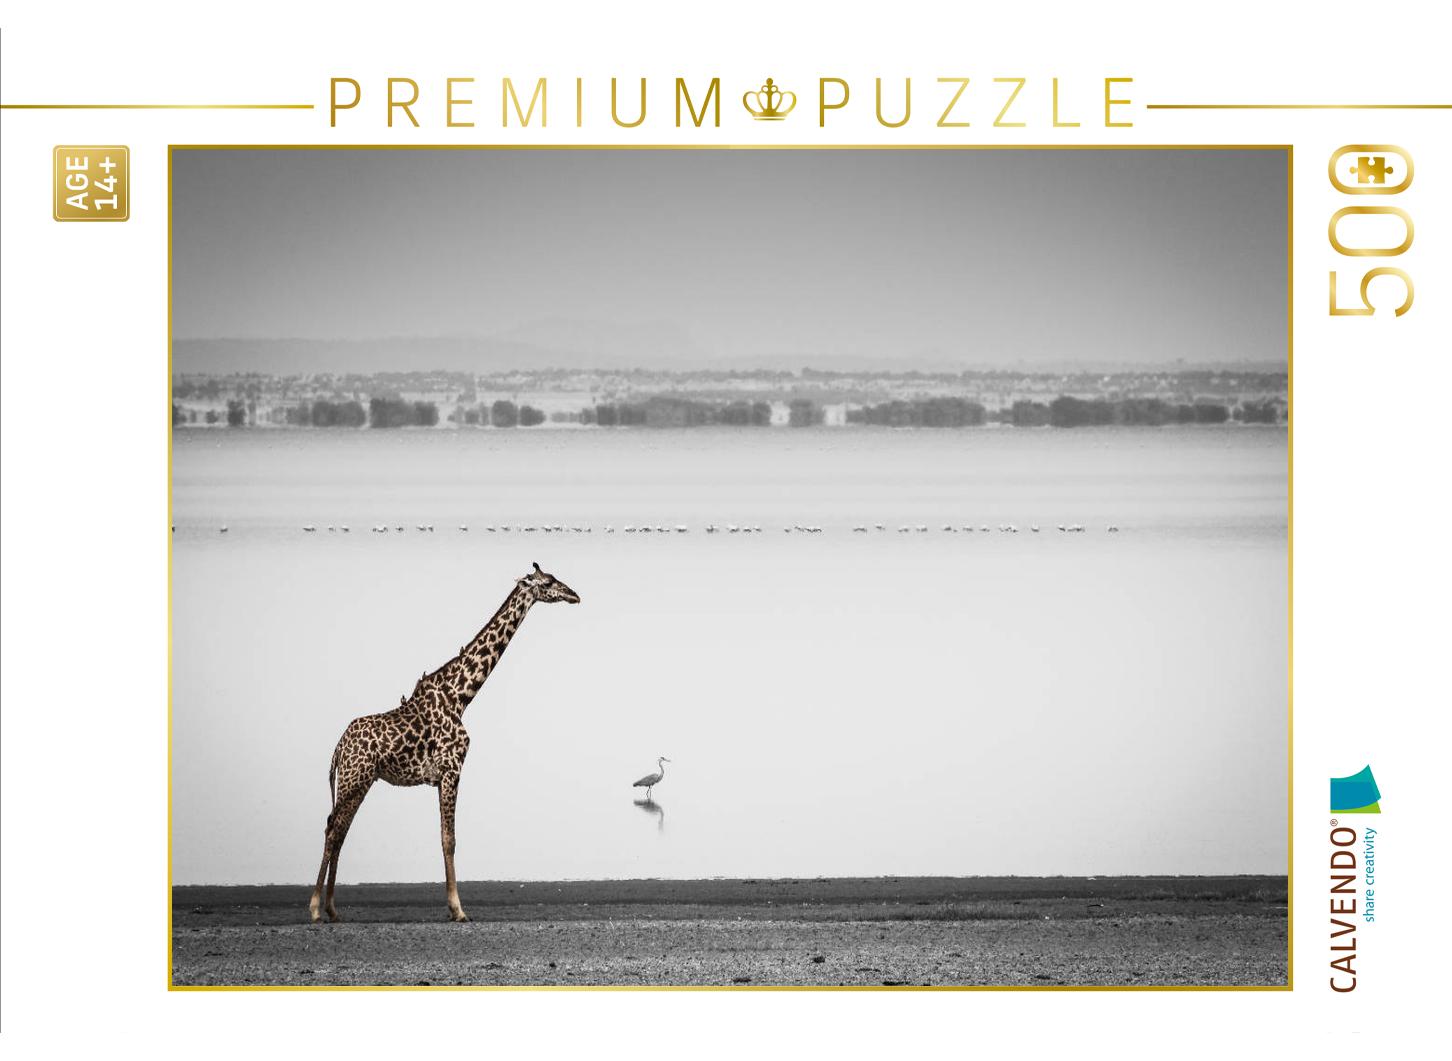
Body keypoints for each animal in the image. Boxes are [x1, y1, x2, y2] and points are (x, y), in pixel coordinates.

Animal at [308, 562, 581, 924]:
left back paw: (333, 909)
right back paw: (314, 908)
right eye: (548, 582)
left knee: (340, 829)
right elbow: (450, 839)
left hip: (360, 780)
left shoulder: (441, 777)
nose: (575, 594)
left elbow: (442, 837)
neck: (460, 696)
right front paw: (458, 909)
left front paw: (453, 907)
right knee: (332, 827)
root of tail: (338, 747)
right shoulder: (452, 769)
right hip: (354, 777)